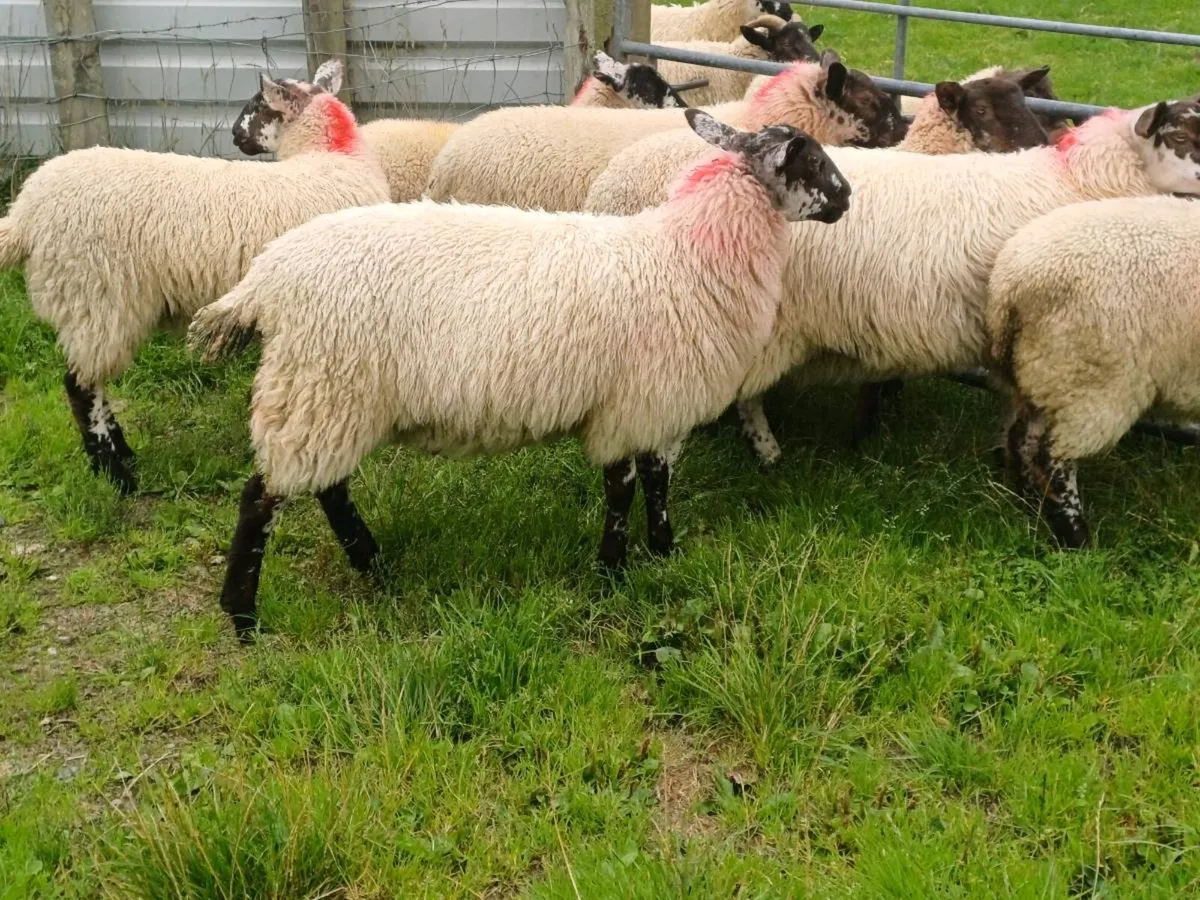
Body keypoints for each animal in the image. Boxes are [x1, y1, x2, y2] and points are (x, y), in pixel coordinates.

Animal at [0, 59, 390, 494]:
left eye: (258, 105)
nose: (235, 135)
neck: (330, 156)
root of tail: (24, 213)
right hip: (96, 296)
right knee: (81, 386)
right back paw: (116, 475)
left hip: (87, 302)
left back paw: (123, 455)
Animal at [185, 110, 852, 640]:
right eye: (814, 159)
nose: (847, 199)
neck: (685, 256)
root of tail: (265, 278)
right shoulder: (641, 401)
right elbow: (632, 489)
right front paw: (624, 566)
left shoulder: (640, 404)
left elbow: (645, 483)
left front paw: (652, 556)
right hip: (316, 385)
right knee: (262, 500)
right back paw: (243, 616)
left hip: (330, 395)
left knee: (329, 487)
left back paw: (371, 562)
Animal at [986, 194, 1200, 548]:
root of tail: (1009, 286)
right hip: (1090, 382)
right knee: (1054, 456)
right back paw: (1076, 537)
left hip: (1047, 373)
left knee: (1022, 440)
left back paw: (1031, 504)